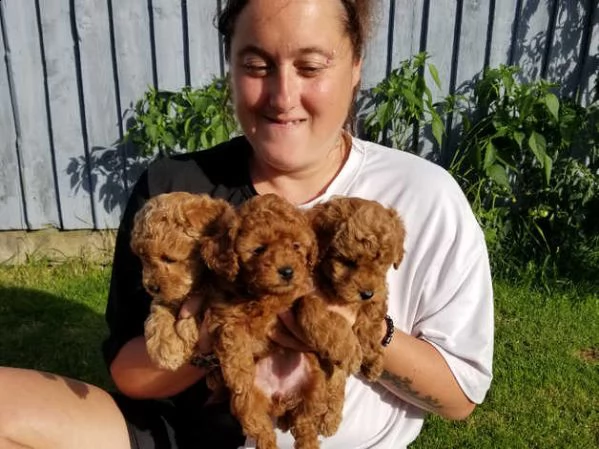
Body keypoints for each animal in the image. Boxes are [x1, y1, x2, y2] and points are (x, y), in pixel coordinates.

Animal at [130, 191, 236, 370]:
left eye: (169, 259)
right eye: (143, 258)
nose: (151, 287)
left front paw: (185, 332)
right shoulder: (170, 295)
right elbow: (158, 309)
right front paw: (163, 347)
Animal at [203, 194, 332, 448]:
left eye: (295, 246)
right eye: (259, 249)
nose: (287, 271)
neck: (267, 296)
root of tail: (280, 398)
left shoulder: (303, 290)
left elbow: (309, 303)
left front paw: (326, 336)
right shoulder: (224, 311)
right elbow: (233, 333)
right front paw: (239, 374)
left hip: (316, 387)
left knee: (305, 423)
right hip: (248, 404)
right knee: (262, 430)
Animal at [296, 197, 408, 434]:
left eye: (382, 263)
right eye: (348, 262)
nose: (366, 293)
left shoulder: (378, 293)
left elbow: (371, 320)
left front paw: (372, 358)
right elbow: (320, 316)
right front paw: (350, 352)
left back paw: (329, 418)